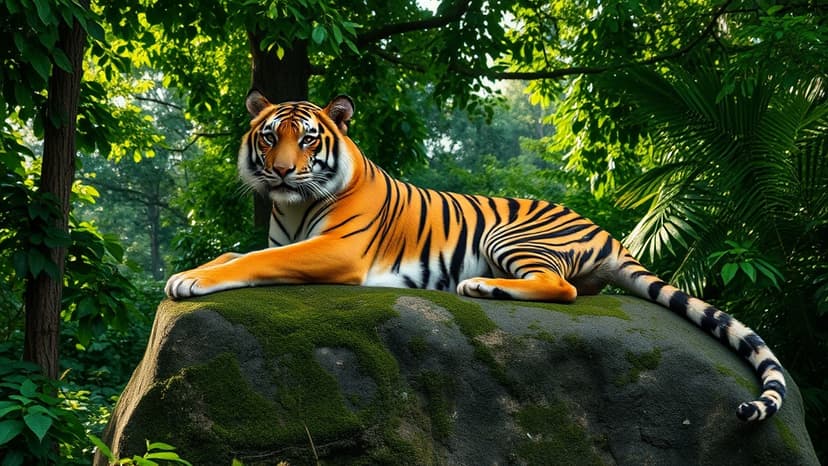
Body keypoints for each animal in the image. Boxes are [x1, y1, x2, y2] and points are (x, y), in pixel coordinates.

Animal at [165, 91, 786, 422]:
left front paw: (189, 282)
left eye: (309, 139)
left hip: (508, 237)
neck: (292, 208)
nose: (282, 172)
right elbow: (232, 252)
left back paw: (479, 287)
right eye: (269, 137)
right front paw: (188, 272)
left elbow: (248, 264)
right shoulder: (281, 239)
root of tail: (611, 236)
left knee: (561, 288)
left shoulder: (335, 251)